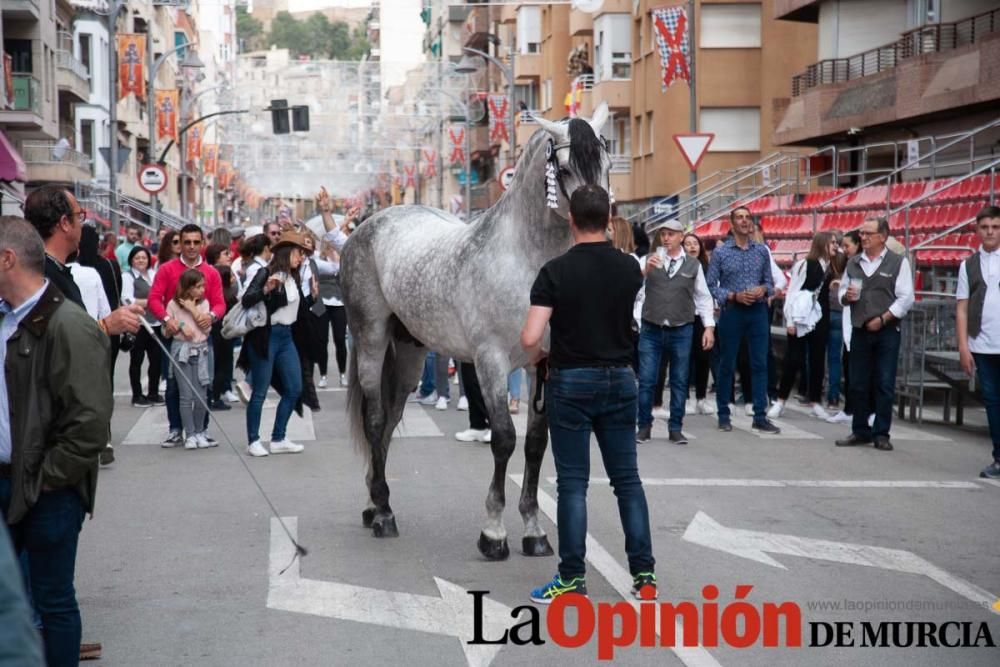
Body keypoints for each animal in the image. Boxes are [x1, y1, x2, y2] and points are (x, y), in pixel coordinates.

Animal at [340, 104, 612, 560]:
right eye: (565, 168)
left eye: (607, 164)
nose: (602, 223)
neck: (522, 259)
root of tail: (368, 225)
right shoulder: (491, 361)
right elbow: (503, 438)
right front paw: (494, 533)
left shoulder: (543, 365)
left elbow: (535, 443)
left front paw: (534, 532)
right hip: (372, 339)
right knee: (375, 420)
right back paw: (383, 516)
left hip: (411, 353)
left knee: (392, 418)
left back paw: (375, 502)